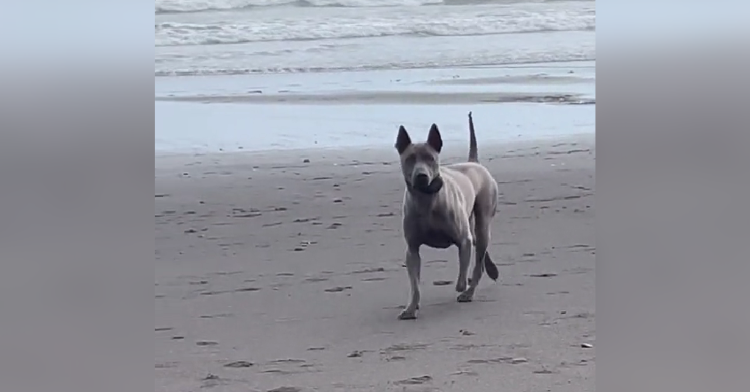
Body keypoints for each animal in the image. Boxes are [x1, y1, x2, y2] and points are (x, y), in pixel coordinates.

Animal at [394, 112, 500, 320]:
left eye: (431, 158)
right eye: (410, 158)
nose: (421, 176)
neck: (426, 199)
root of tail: (474, 162)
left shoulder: (464, 239)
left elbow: (463, 268)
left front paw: (462, 285)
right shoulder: (412, 249)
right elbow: (415, 283)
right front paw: (411, 308)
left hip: (483, 217)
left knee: (478, 256)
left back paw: (469, 291)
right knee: (481, 253)